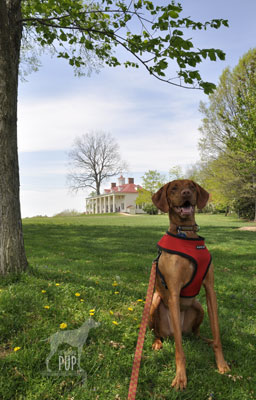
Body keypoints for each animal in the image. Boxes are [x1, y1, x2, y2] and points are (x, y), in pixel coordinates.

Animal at [149, 180, 229, 390]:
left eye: (191, 187)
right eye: (173, 189)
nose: (186, 193)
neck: (186, 234)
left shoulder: (210, 289)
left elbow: (217, 333)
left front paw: (221, 364)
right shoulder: (174, 292)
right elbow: (179, 349)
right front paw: (180, 377)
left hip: (198, 306)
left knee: (196, 333)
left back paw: (205, 340)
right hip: (154, 301)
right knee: (158, 333)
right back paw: (158, 343)